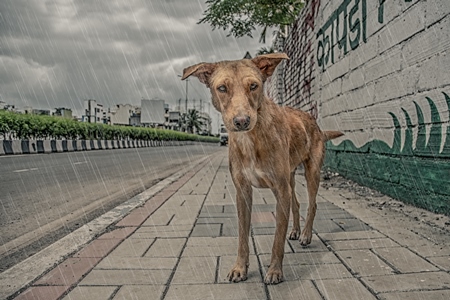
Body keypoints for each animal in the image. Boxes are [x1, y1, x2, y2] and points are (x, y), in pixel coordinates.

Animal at [181, 52, 342, 284]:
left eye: (254, 86)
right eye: (222, 88)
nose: (241, 121)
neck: (251, 138)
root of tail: (314, 122)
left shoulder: (280, 191)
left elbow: (277, 239)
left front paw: (275, 271)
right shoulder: (243, 191)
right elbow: (242, 235)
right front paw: (240, 268)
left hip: (311, 172)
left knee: (312, 205)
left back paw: (305, 235)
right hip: (290, 177)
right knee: (296, 204)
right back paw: (295, 231)